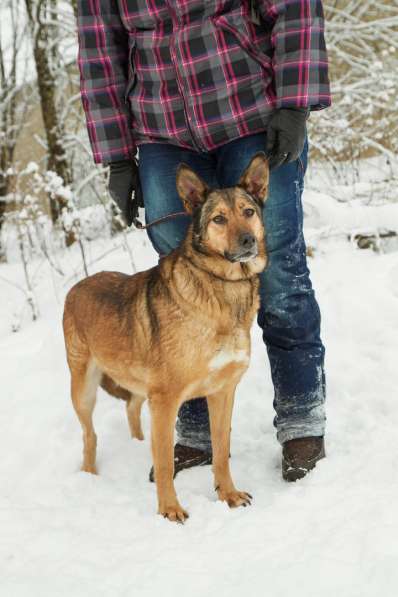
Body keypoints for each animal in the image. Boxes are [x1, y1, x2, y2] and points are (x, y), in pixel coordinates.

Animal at [63, 151, 268, 520]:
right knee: (90, 435)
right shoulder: (165, 400)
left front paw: (228, 495)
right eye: (218, 219)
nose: (249, 242)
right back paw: (89, 475)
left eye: (249, 212)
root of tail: (79, 284)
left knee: (131, 406)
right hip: (83, 388)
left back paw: (136, 442)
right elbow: (163, 463)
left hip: (134, 379)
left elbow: (221, 450)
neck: (222, 286)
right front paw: (169, 509)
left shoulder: (222, 392)